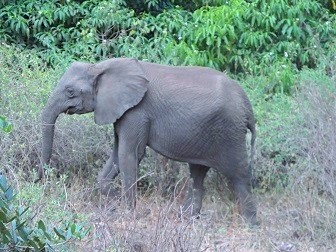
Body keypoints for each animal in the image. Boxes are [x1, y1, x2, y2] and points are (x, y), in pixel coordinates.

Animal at [40, 58, 258, 224]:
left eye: (70, 91)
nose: (40, 180)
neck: (100, 66)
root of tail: (247, 106)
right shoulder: (123, 111)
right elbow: (117, 155)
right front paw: (115, 203)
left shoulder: (137, 112)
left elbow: (129, 155)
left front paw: (128, 214)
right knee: (197, 173)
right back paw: (187, 219)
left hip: (229, 132)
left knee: (238, 174)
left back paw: (250, 224)